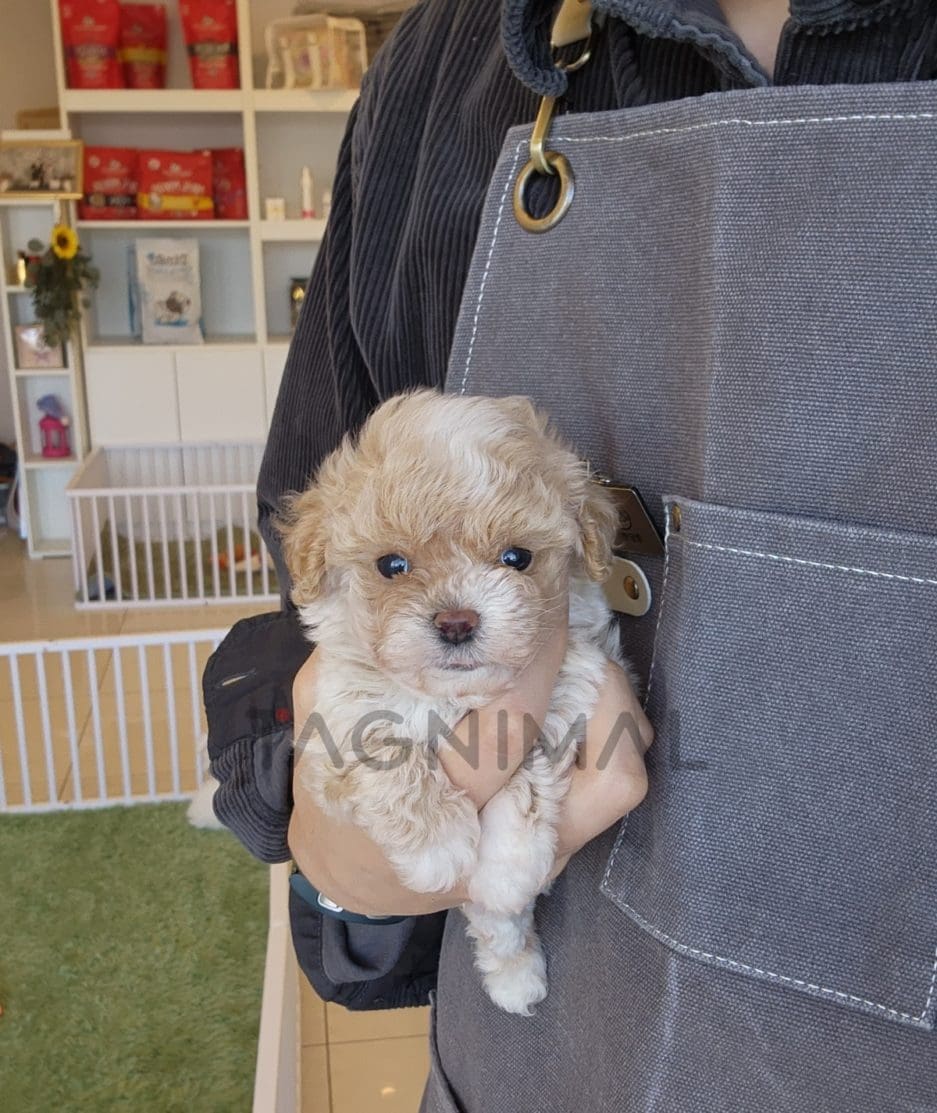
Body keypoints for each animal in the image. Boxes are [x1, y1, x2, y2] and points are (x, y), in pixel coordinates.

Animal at [281, 387, 623, 1015]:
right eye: (392, 565)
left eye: (517, 558)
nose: (457, 621)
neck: (454, 695)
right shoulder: (335, 711)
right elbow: (382, 748)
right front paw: (437, 844)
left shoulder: (572, 680)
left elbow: (530, 772)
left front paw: (509, 865)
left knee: (498, 923)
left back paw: (515, 974)